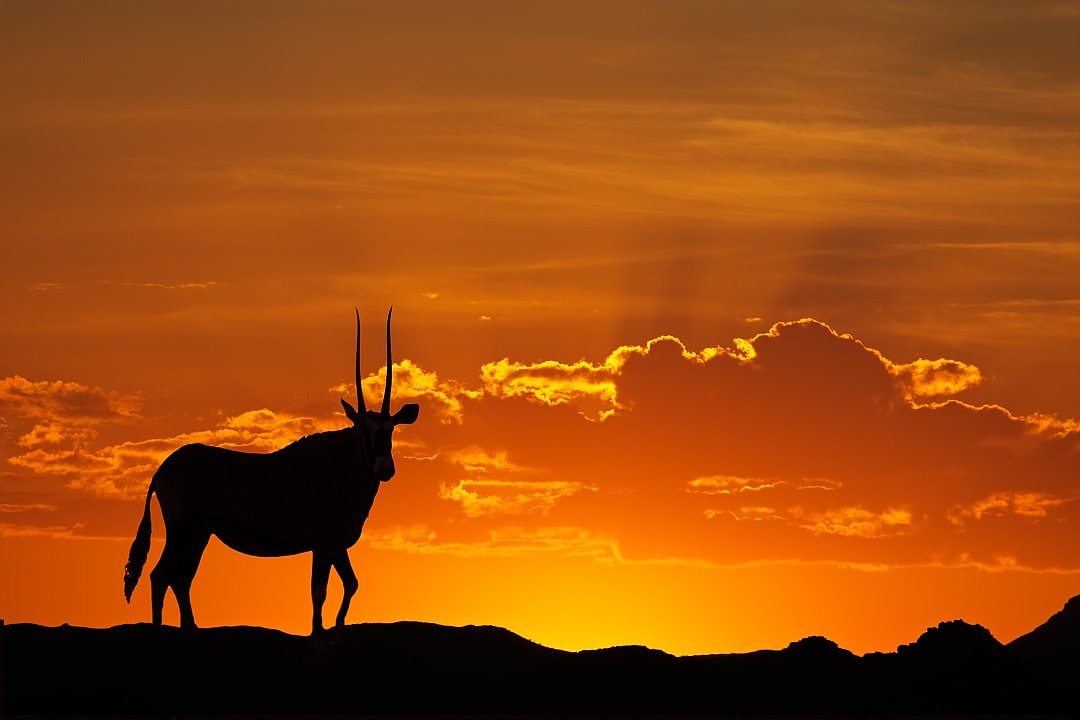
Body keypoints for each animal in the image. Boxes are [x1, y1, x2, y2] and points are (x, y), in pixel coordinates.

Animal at [123, 309, 419, 634]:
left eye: (391, 429)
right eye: (364, 429)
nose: (384, 468)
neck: (339, 464)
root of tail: (162, 470)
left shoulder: (336, 546)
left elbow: (351, 583)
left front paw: (338, 626)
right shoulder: (323, 545)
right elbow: (319, 591)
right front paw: (317, 633)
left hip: (199, 534)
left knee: (181, 578)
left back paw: (191, 628)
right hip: (183, 530)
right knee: (161, 575)